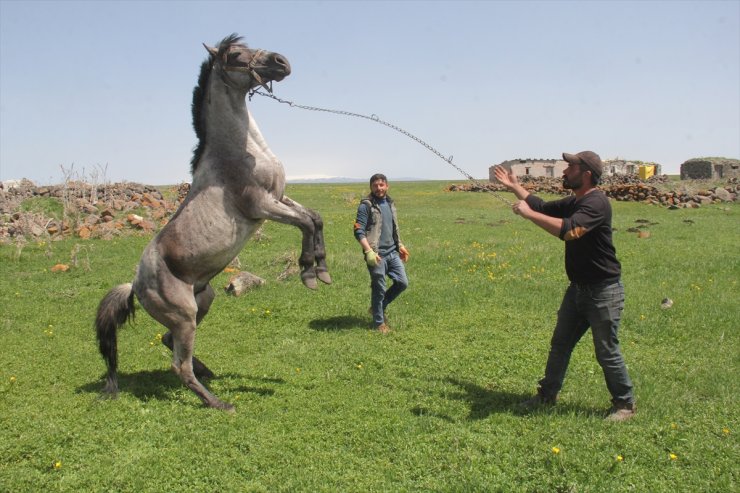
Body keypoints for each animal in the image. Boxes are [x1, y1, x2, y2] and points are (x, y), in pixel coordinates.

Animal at [94, 34, 330, 410]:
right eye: (234, 54)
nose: (281, 61)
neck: (241, 151)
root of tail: (135, 286)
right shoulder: (261, 206)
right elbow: (305, 225)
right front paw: (309, 273)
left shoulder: (280, 198)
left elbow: (314, 218)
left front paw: (322, 269)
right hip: (184, 315)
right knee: (179, 365)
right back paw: (219, 403)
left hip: (203, 299)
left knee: (169, 342)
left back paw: (209, 374)